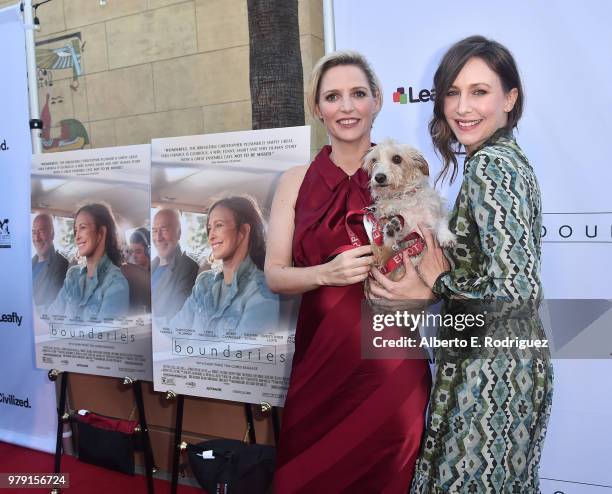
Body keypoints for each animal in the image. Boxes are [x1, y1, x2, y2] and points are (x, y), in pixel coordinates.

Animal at [360, 139, 456, 280]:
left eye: (397, 158)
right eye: (374, 160)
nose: (379, 177)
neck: (403, 197)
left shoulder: (433, 213)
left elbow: (440, 221)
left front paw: (446, 237)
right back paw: (391, 230)